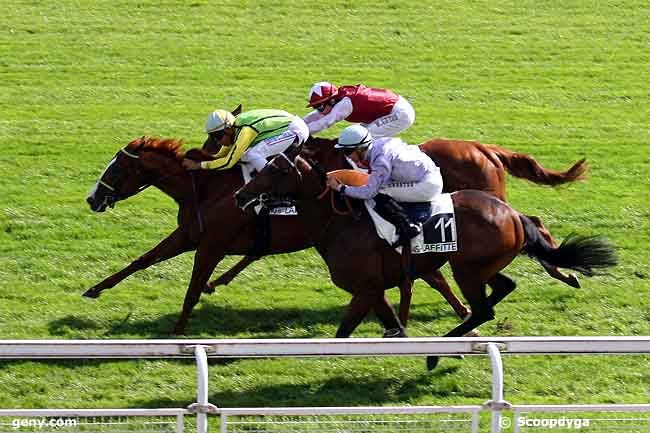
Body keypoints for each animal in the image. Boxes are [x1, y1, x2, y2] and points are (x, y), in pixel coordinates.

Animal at [234, 153, 616, 368]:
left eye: (275, 171)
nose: (240, 194)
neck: (339, 221)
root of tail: (512, 214)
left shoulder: (365, 288)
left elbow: (343, 333)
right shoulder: (374, 290)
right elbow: (394, 325)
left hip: (465, 268)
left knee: (483, 308)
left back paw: (440, 352)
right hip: (479, 266)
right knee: (503, 287)